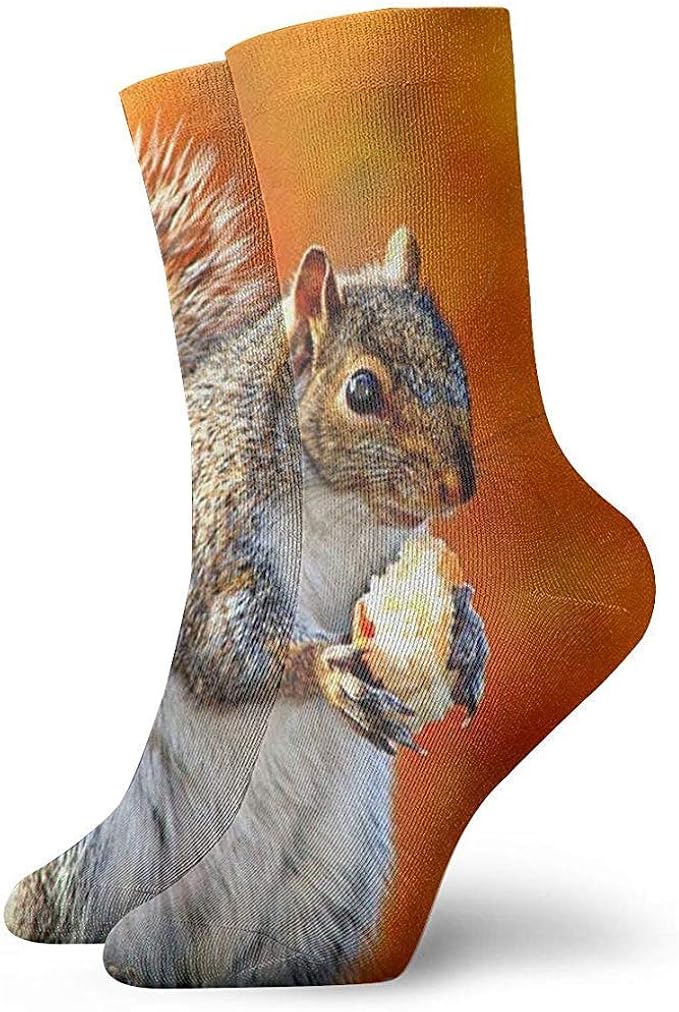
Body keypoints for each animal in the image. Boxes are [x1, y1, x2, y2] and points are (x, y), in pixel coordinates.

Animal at [7, 128, 489, 981]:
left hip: (320, 891)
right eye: (362, 391)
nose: (459, 486)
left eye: (455, 360)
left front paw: (466, 632)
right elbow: (223, 641)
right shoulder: (218, 533)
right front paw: (328, 672)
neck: (334, 502)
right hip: (95, 873)